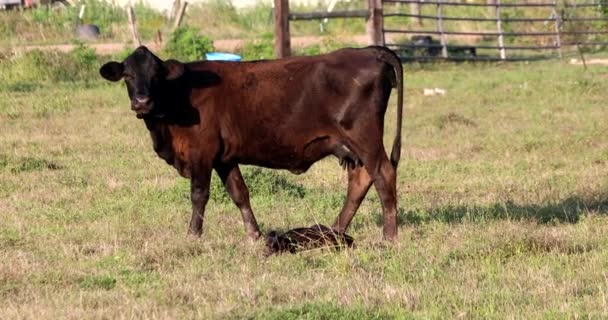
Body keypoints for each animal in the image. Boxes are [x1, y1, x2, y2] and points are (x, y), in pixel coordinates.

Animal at [100, 45, 404, 240]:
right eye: (127, 75)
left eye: (155, 75)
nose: (142, 102)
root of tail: (367, 51)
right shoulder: (224, 158)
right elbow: (239, 193)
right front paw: (254, 234)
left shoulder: (202, 153)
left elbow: (199, 195)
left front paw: (193, 234)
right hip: (353, 146)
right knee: (361, 181)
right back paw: (334, 231)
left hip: (365, 138)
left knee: (383, 175)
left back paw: (389, 238)